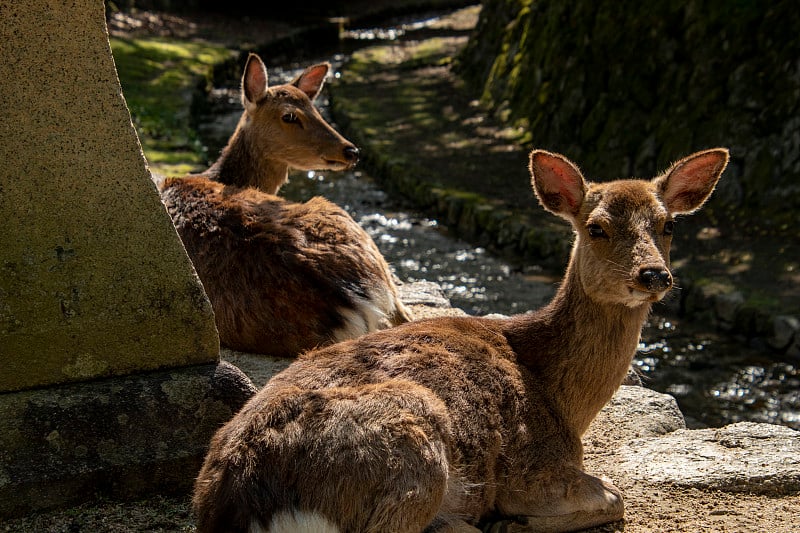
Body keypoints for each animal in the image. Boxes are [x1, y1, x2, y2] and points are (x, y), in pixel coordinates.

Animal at [191, 147, 728, 532]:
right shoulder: (535, 469)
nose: (654, 274)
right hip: (413, 448)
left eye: (669, 224)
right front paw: (515, 521)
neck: (564, 400)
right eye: (596, 227)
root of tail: (243, 500)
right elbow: (616, 497)